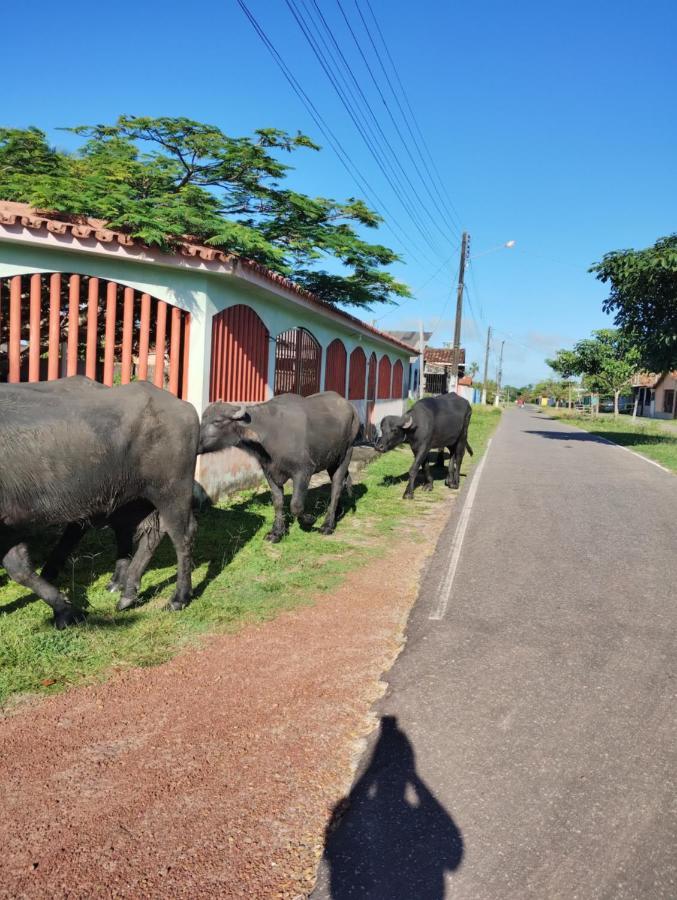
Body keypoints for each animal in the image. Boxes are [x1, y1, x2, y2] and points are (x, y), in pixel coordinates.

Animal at [0, 380, 198, 624]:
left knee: (182, 535)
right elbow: (19, 568)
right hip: (134, 497)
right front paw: (65, 609)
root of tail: (182, 406)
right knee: (151, 532)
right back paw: (127, 593)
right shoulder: (9, 525)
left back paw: (179, 597)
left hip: (171, 489)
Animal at [198, 388, 360, 540]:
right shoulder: (269, 472)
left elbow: (296, 505)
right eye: (203, 419)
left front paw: (309, 519)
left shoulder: (304, 471)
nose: (196, 442)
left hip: (346, 454)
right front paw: (276, 532)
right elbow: (277, 501)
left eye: (217, 421)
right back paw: (337, 513)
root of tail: (351, 408)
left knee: (336, 487)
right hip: (332, 461)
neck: (269, 434)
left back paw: (327, 525)